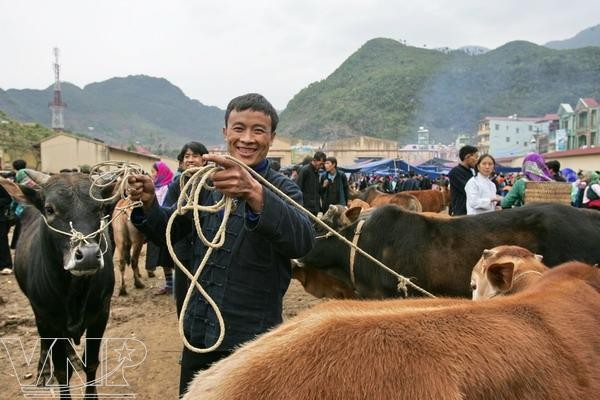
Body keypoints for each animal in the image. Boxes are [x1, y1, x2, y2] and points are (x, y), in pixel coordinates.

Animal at [0, 170, 115, 398]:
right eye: (50, 209)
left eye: (100, 208)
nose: (88, 256)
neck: (75, 293)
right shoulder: (49, 319)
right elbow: (62, 370)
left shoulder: (101, 315)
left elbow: (91, 363)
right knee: (45, 341)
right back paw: (43, 371)